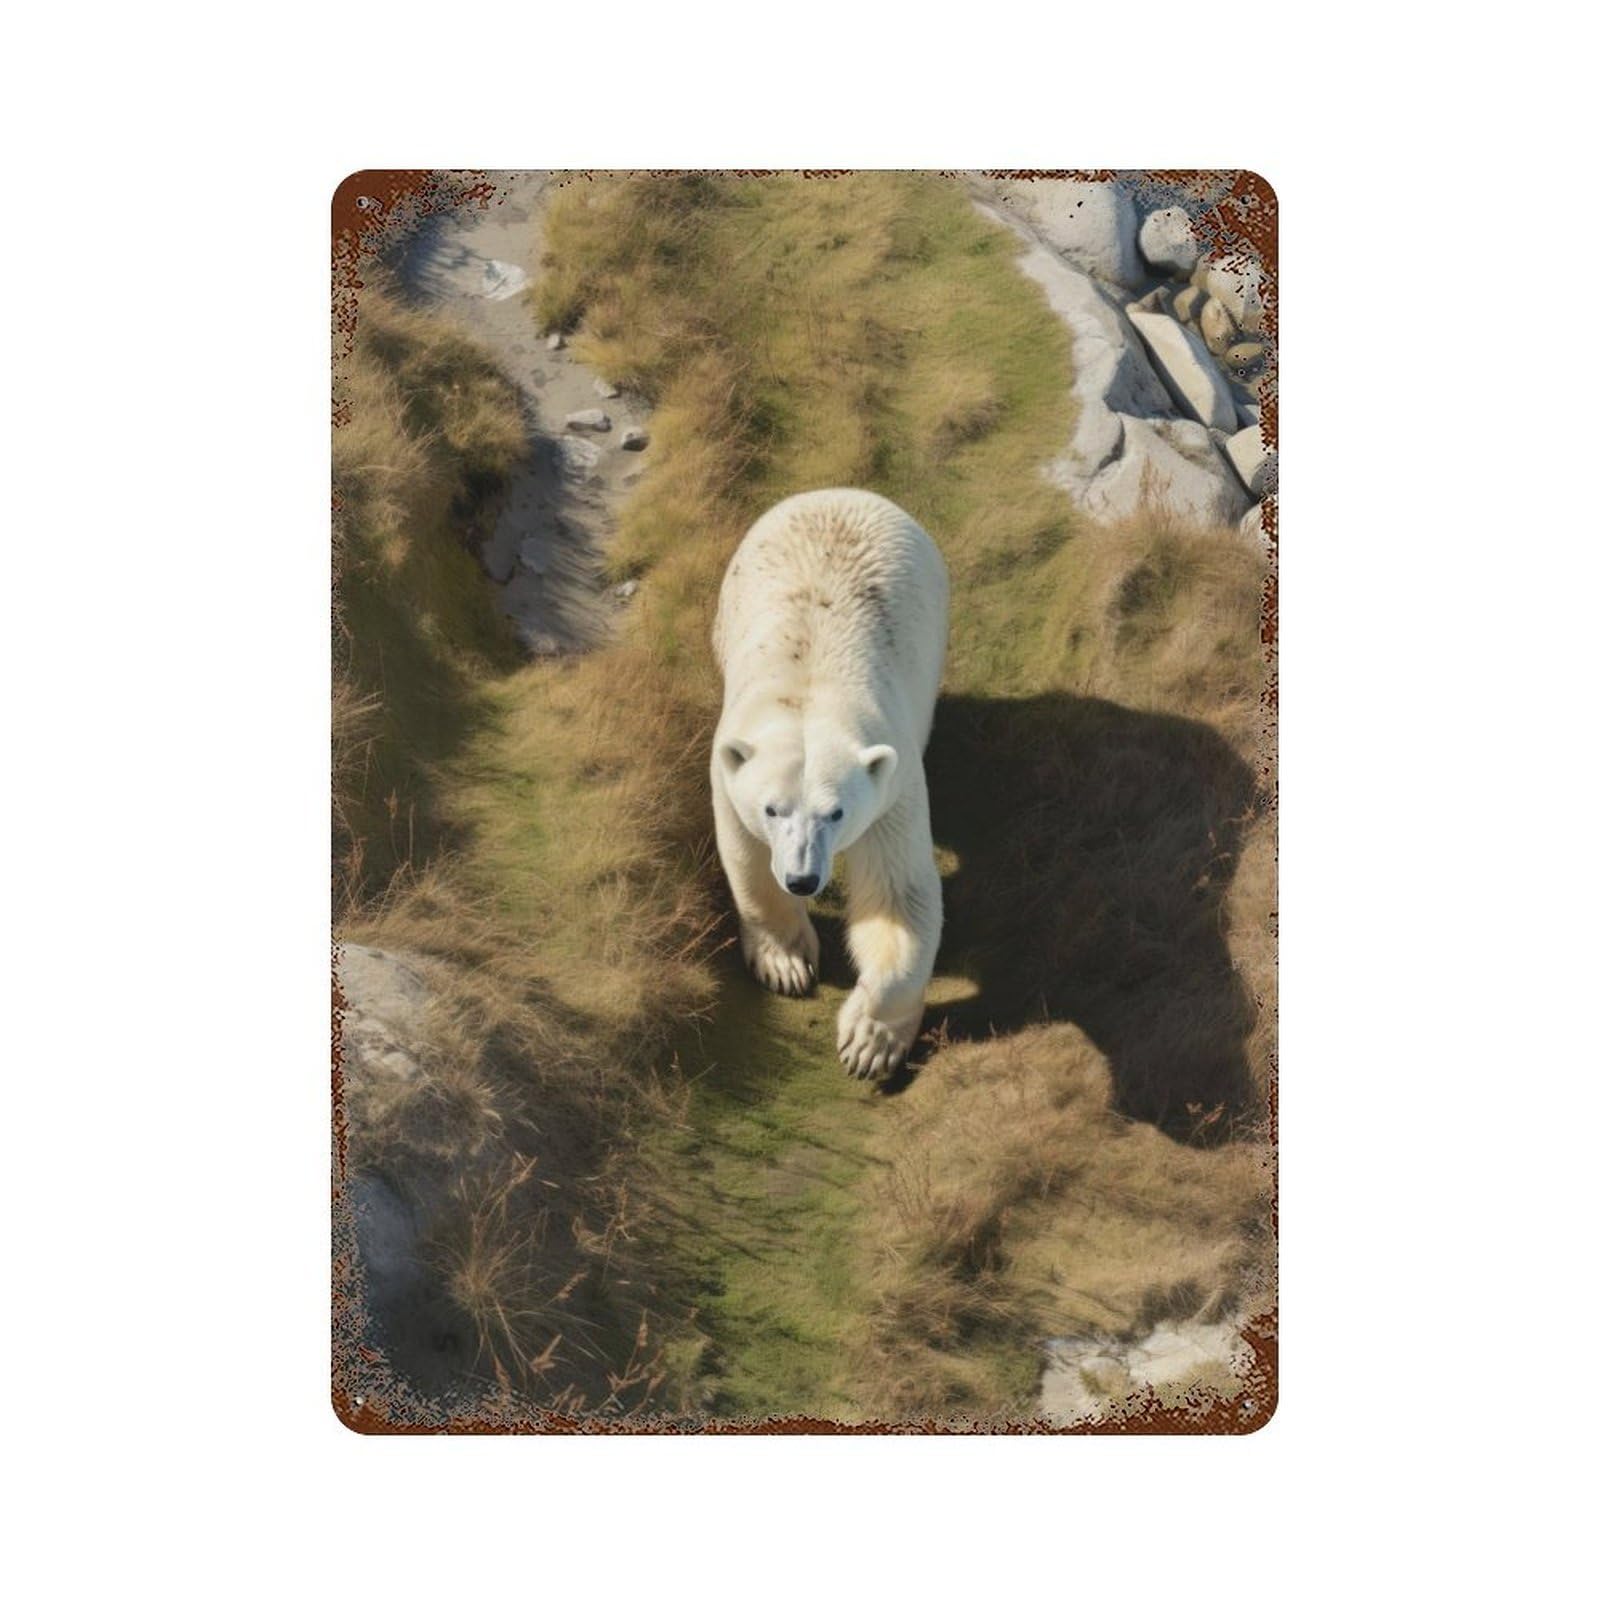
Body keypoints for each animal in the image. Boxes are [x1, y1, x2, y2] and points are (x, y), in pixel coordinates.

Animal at [710, 487, 950, 1080]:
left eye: (836, 813)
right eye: (772, 810)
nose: (802, 879)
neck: (808, 685)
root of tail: (842, 493)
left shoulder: (892, 789)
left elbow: (897, 893)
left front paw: (871, 1039)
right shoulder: (727, 776)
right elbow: (748, 864)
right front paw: (786, 962)